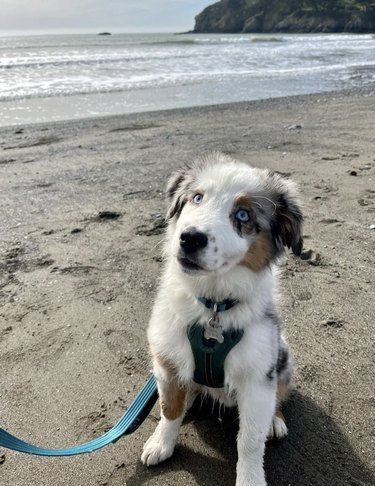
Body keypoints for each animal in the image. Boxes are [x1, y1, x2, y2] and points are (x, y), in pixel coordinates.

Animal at [141, 153, 302, 486]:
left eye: (243, 215)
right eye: (197, 198)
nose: (189, 238)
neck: (213, 305)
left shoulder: (257, 378)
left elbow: (250, 440)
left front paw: (251, 479)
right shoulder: (167, 360)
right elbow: (169, 408)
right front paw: (161, 443)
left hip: (282, 357)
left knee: (279, 397)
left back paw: (275, 422)